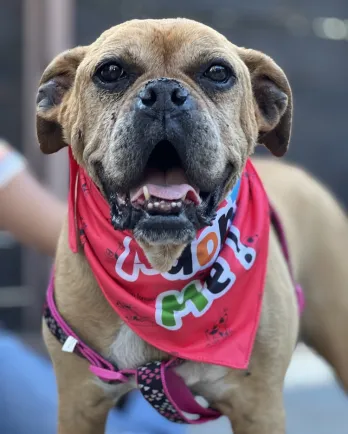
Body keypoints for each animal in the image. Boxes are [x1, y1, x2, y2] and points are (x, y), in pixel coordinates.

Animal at [36, 17, 348, 434]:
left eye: (217, 72)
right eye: (111, 71)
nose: (164, 93)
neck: (160, 267)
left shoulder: (259, 408)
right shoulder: (79, 403)